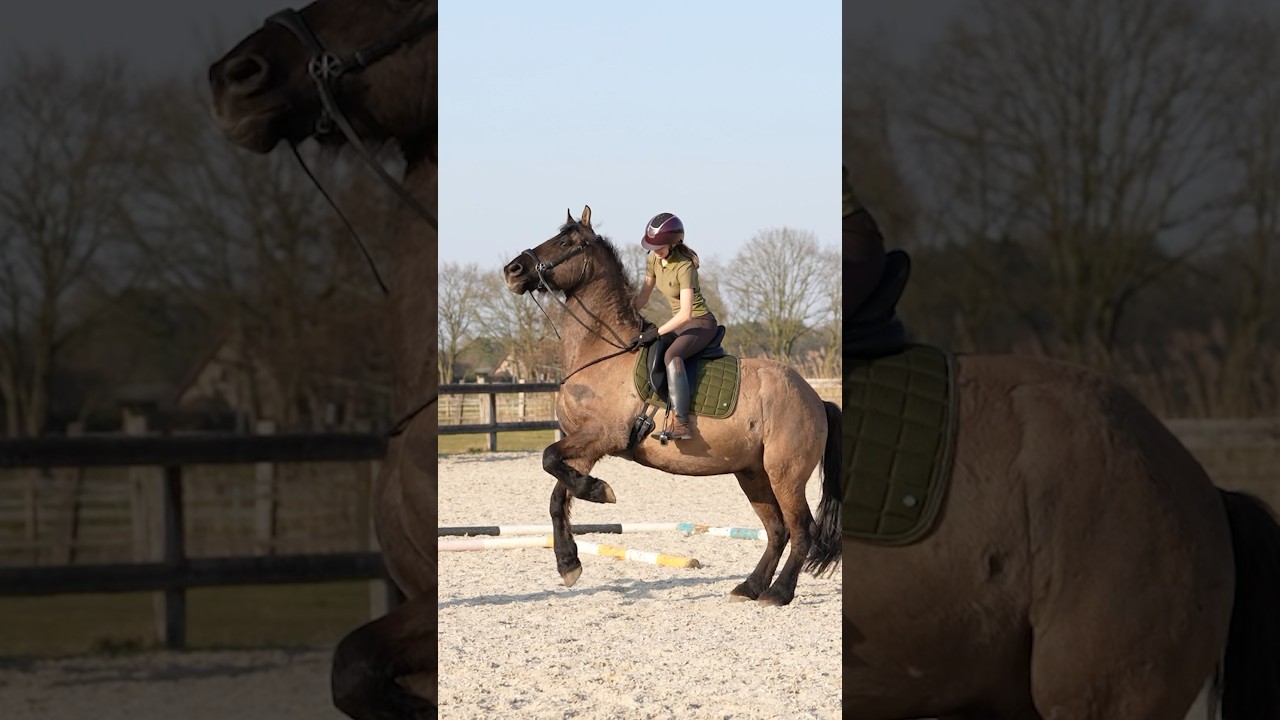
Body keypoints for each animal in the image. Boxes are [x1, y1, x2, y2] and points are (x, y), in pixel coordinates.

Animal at [502, 206, 842, 606]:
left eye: (567, 242)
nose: (513, 270)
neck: (601, 353)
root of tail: (815, 398)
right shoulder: (583, 447)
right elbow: (557, 492)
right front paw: (569, 561)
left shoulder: (604, 436)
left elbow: (549, 460)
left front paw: (600, 493)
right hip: (752, 474)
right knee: (777, 529)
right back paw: (750, 586)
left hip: (785, 474)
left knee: (801, 528)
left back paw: (779, 593)